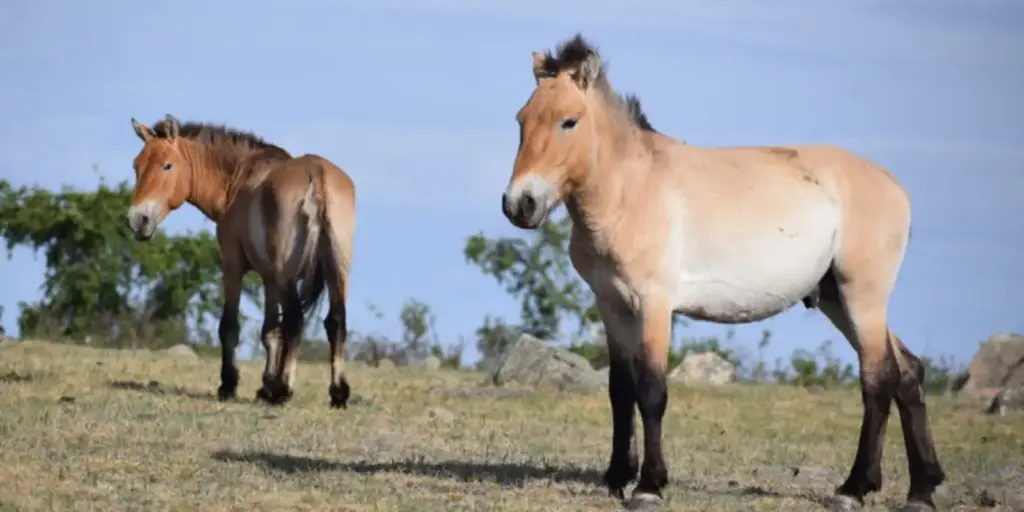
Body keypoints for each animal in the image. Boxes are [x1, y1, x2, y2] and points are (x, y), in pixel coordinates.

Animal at [125, 115, 356, 409]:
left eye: (168, 165)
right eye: (137, 165)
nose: (137, 220)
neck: (239, 177)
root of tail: (317, 176)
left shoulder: (233, 267)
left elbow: (231, 327)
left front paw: (230, 385)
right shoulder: (270, 280)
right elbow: (271, 332)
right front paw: (265, 386)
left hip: (288, 276)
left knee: (296, 319)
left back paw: (284, 389)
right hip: (337, 274)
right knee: (335, 321)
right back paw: (337, 392)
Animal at [501, 34, 945, 511]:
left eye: (569, 121)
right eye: (521, 119)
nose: (520, 204)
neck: (630, 191)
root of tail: (894, 186)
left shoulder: (654, 304)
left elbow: (651, 391)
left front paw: (649, 485)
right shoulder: (611, 304)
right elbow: (620, 391)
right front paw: (617, 478)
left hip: (862, 295)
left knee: (878, 380)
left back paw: (854, 488)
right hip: (834, 300)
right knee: (908, 372)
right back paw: (922, 489)